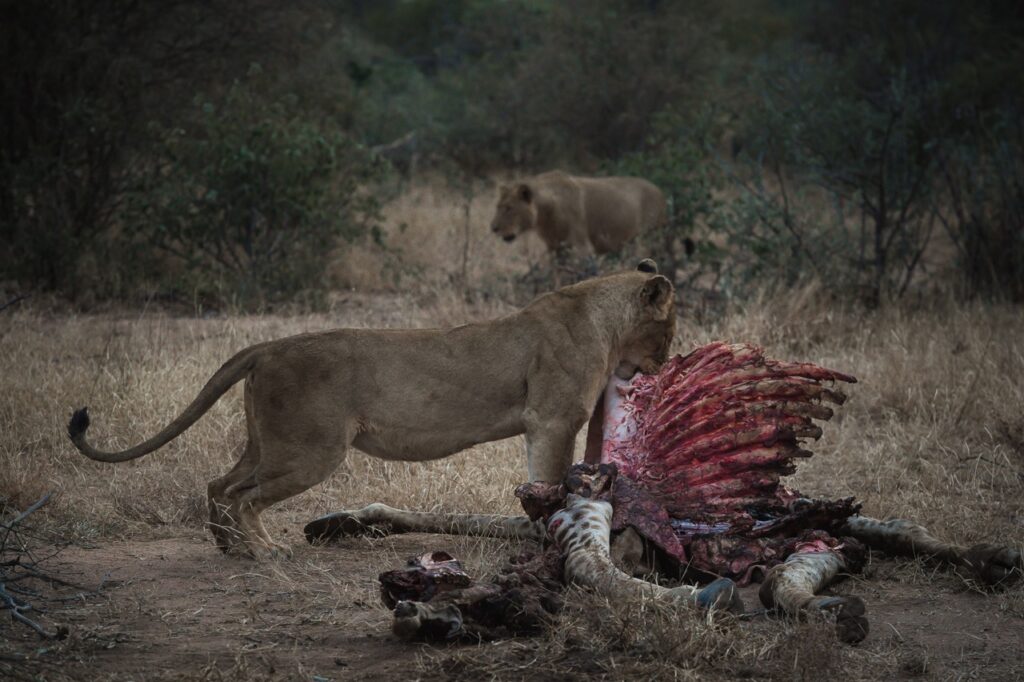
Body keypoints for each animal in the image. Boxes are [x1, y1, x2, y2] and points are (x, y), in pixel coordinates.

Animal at [67, 261, 675, 559]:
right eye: (669, 328)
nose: (668, 359)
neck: (602, 317)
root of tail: (269, 346)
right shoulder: (552, 420)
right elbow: (549, 477)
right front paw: (549, 525)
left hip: (270, 441)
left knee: (220, 484)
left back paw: (228, 547)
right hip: (311, 450)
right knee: (243, 496)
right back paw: (263, 551)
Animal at [490, 171, 666, 286]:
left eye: (509, 208)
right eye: (498, 206)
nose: (493, 228)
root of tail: (659, 191)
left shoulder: (581, 247)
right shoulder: (555, 249)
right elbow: (557, 275)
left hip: (649, 238)